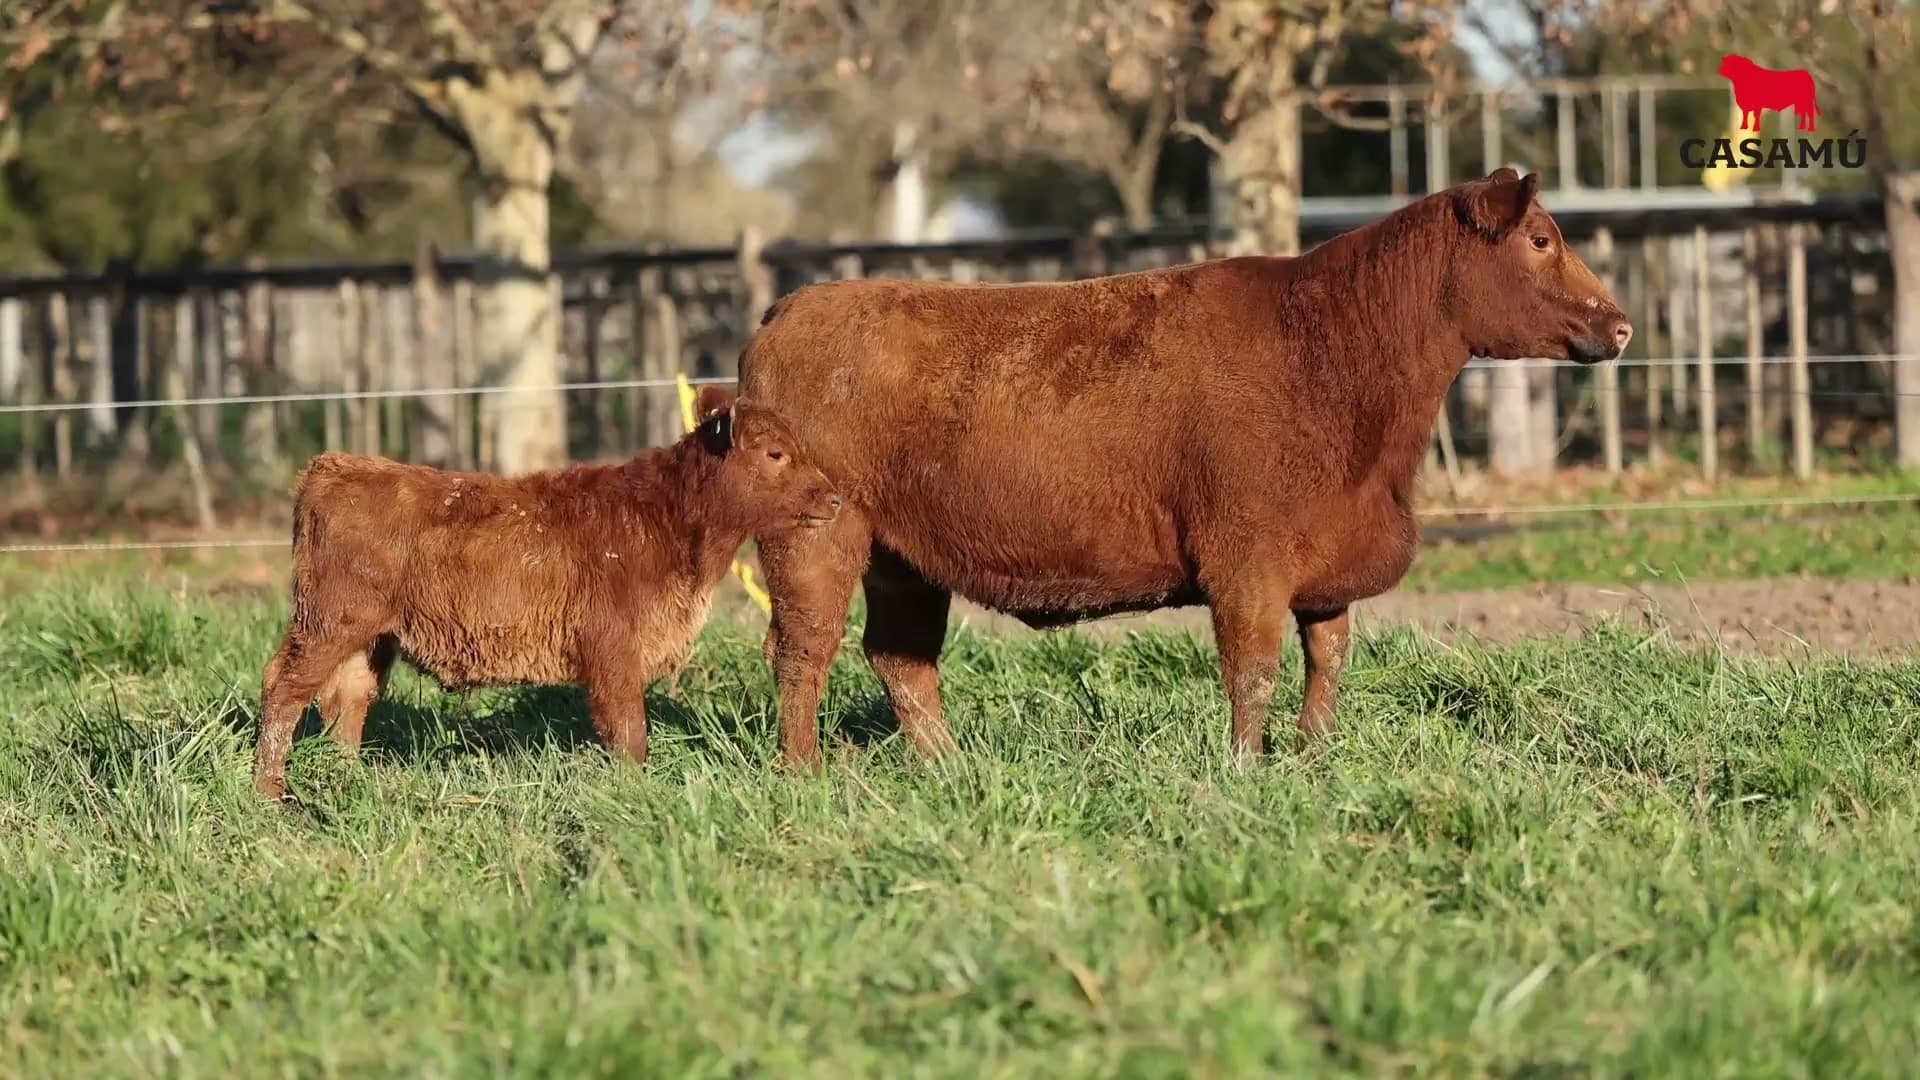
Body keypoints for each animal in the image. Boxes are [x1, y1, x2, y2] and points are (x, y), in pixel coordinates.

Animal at [252, 386, 841, 800]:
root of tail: (335, 465)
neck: (668, 523)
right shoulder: (612, 653)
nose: (834, 498)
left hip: (369, 638)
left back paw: (346, 780)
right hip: (329, 621)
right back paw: (270, 794)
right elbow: (630, 733)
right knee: (284, 688)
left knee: (346, 700)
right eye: (775, 454)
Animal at [738, 168, 1631, 768]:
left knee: (900, 658)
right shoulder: (1247, 558)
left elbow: (1328, 658)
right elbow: (1253, 670)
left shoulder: (1325, 564)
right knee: (802, 649)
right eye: (1541, 240)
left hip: (904, 558)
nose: (1619, 325)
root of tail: (791, 307)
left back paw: (951, 769)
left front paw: (1312, 756)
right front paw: (1245, 770)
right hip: (815, 538)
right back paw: (805, 774)